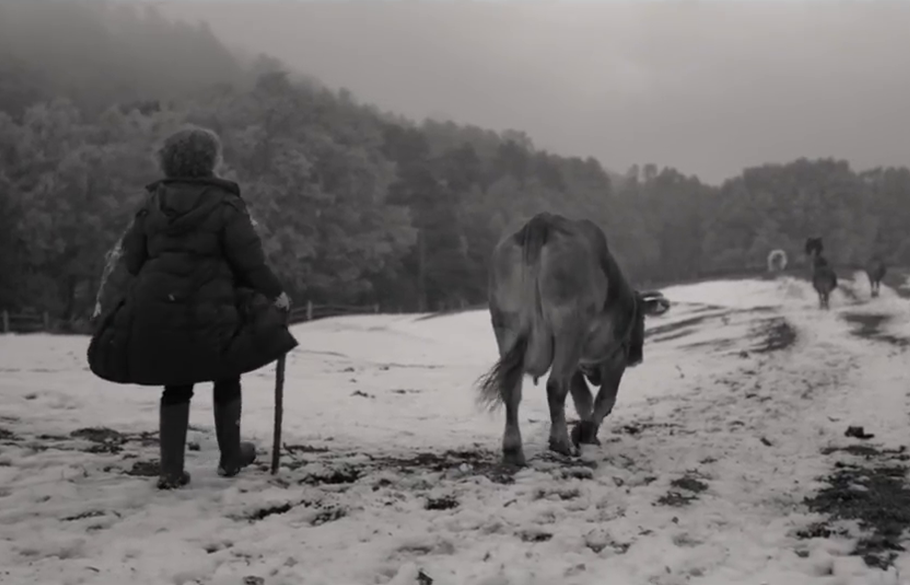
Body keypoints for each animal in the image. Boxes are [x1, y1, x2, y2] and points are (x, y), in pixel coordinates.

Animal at [478, 212, 668, 468]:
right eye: (642, 318)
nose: (637, 357)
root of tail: (541, 221)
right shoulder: (615, 354)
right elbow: (604, 399)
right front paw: (585, 433)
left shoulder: (577, 361)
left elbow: (582, 398)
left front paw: (584, 431)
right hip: (569, 327)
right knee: (555, 385)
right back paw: (560, 443)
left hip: (506, 326)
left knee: (511, 388)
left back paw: (513, 450)